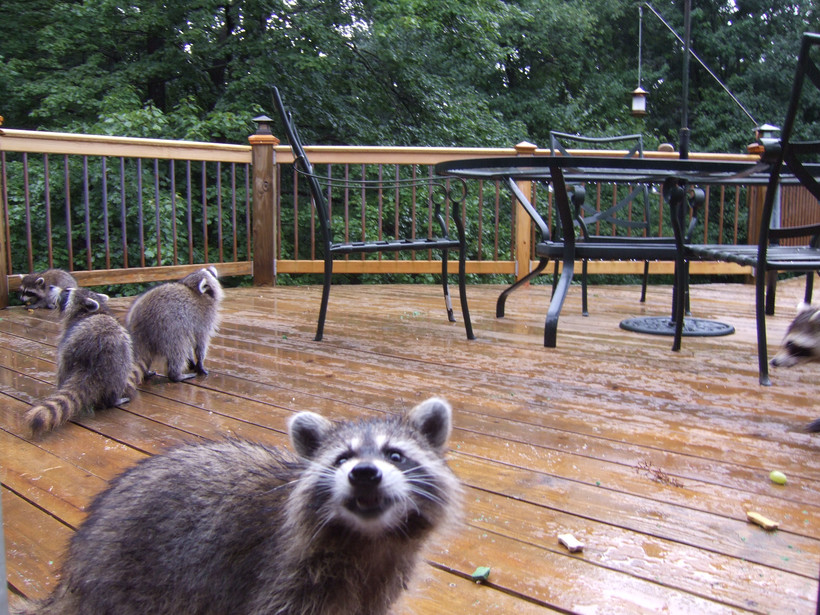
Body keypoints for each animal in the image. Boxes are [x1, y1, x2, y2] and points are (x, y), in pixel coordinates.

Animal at [16, 398, 462, 612]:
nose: (364, 474)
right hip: (129, 580)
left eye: (395, 455)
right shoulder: (282, 575)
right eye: (341, 459)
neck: (368, 539)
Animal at [23, 288, 135, 438]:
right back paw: (114, 399)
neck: (94, 311)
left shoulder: (69, 332)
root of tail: (94, 364)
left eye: (66, 291)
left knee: (63, 365)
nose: (51, 287)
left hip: (73, 348)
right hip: (120, 362)